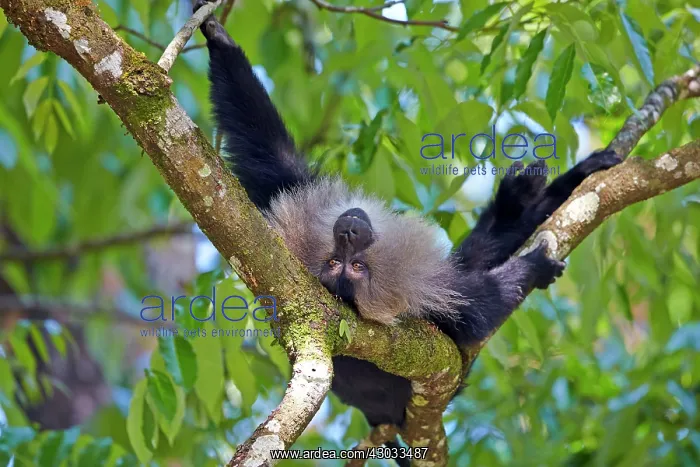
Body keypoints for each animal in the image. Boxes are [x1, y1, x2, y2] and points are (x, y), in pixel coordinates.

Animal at [193, 0, 622, 458]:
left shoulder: (285, 199)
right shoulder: (433, 312)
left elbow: (267, 154)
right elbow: (479, 311)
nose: (348, 233)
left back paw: (524, 197)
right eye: (343, 266)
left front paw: (218, 37)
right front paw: (535, 267)